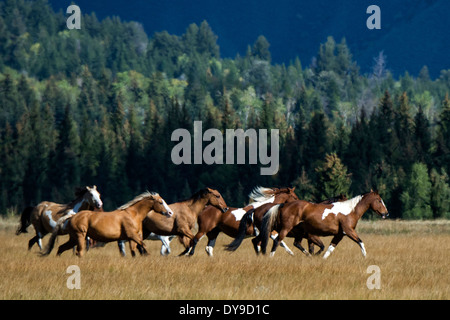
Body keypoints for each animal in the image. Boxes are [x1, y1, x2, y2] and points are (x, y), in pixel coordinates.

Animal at [258, 191, 388, 258]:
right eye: (379, 200)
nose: (386, 213)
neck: (350, 211)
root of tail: (283, 205)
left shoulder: (339, 235)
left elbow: (329, 249)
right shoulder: (349, 231)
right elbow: (360, 242)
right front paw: (365, 257)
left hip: (297, 232)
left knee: (295, 243)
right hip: (285, 229)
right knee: (277, 241)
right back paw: (270, 257)